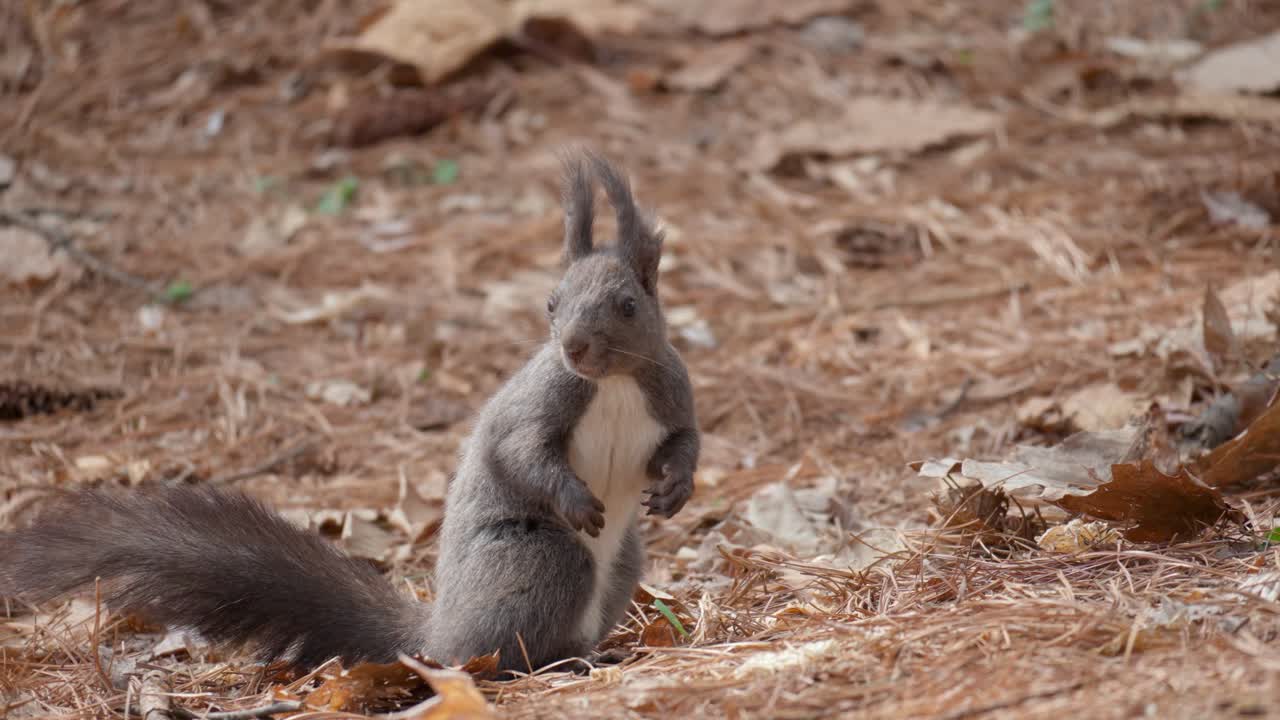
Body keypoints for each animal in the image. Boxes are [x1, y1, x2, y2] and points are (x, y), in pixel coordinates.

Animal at [0, 150, 700, 675]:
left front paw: (676, 490)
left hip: (622, 565)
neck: (611, 384)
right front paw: (577, 498)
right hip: (541, 561)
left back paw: (597, 652)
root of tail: (436, 636)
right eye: (551, 304)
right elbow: (519, 450)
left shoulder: (672, 395)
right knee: (504, 652)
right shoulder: (542, 399)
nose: (574, 348)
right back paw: (557, 662)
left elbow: (686, 443)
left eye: (628, 305)